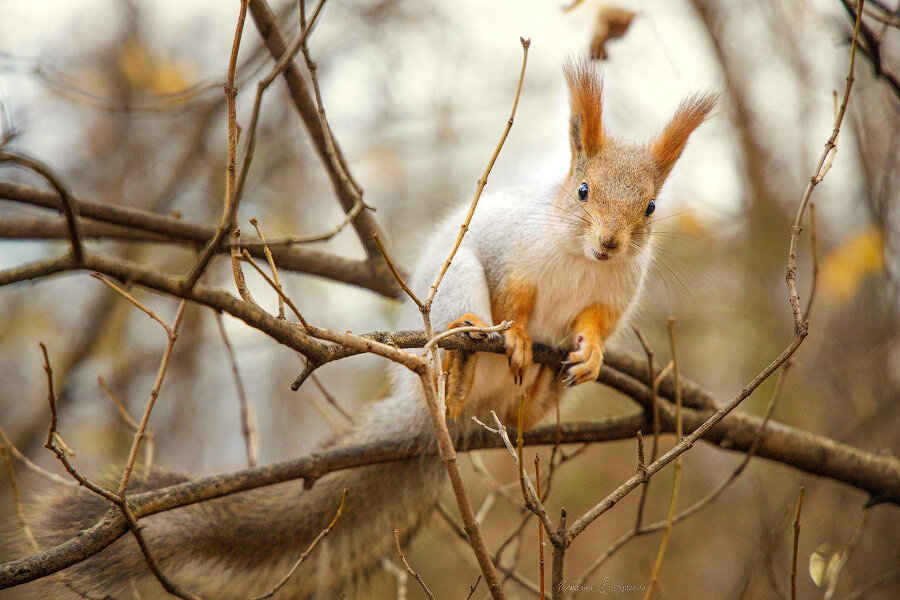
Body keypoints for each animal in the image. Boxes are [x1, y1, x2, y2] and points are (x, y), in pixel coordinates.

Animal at [17, 58, 712, 596]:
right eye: (584, 191)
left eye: (651, 207)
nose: (609, 244)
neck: (579, 260)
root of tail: (452, 410)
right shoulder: (511, 253)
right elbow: (514, 299)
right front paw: (514, 334)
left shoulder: (612, 296)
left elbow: (594, 325)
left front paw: (589, 355)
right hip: (456, 282)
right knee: (463, 324)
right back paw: (463, 355)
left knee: (525, 403)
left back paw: (531, 392)